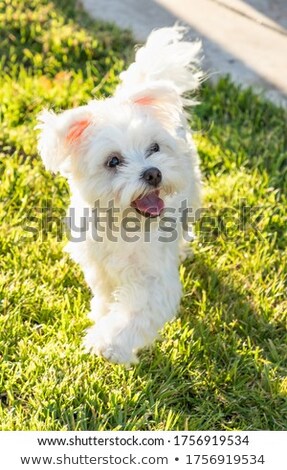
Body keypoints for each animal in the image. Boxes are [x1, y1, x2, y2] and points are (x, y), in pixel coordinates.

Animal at [37, 25, 202, 366]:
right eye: (113, 161)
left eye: (154, 148)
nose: (153, 173)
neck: (124, 225)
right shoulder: (99, 266)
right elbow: (105, 295)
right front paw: (101, 316)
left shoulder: (154, 280)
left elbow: (134, 314)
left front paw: (108, 343)